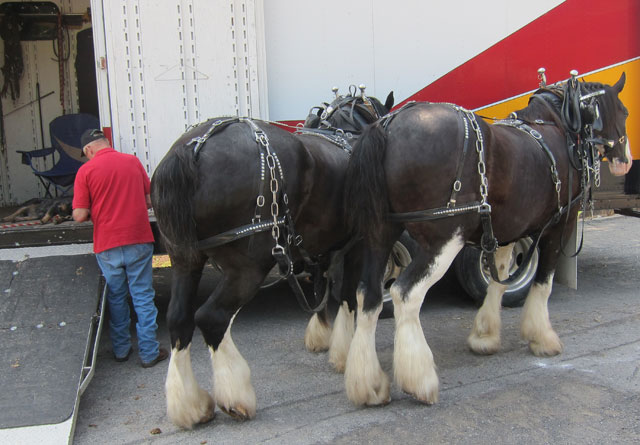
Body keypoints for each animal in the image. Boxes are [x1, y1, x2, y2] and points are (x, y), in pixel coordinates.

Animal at [151, 88, 393, 428]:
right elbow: (347, 295)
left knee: (179, 319)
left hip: (185, 260)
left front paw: (323, 338)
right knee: (212, 317)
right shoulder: (356, 244)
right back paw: (236, 397)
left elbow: (323, 289)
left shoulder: (321, 248)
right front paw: (347, 356)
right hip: (248, 267)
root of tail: (194, 148)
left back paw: (190, 405)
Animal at [342, 72, 630, 406]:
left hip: (380, 235)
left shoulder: (506, 230)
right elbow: (542, 283)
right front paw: (542, 338)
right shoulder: (561, 223)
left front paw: (485, 335)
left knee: (368, 295)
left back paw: (369, 385)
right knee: (405, 293)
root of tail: (388, 126)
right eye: (624, 111)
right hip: (444, 240)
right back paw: (420, 379)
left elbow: (499, 277)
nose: (625, 160)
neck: (557, 128)